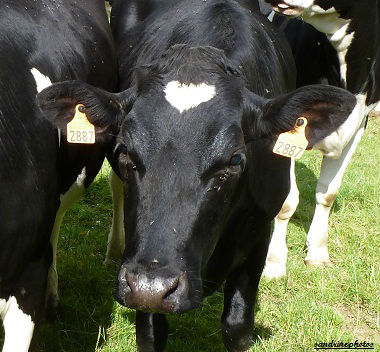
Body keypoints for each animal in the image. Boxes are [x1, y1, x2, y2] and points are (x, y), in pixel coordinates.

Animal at [36, 0, 356, 350]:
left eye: (235, 159)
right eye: (124, 151)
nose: (150, 286)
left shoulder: (260, 229)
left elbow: (237, 325)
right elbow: (150, 332)